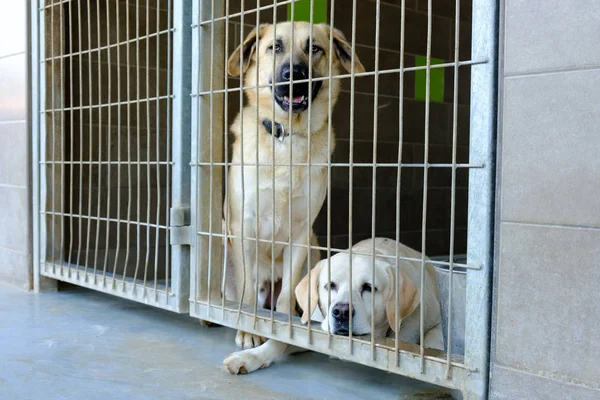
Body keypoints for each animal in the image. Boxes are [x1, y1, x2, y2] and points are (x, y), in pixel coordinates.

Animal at [225, 21, 366, 350]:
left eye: (314, 48)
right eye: (274, 47)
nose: (295, 74)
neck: (285, 138)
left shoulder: (301, 233)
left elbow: (288, 293)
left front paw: (285, 328)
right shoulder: (243, 226)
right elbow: (247, 294)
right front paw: (248, 329)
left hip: (314, 250)